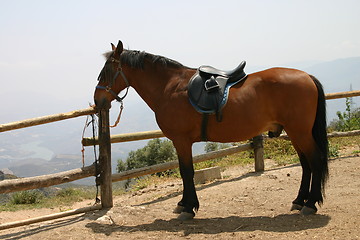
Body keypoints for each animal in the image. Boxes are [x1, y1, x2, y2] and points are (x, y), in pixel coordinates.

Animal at [93, 40, 330, 220]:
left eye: (107, 71)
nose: (97, 100)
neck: (169, 87)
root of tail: (307, 77)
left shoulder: (181, 140)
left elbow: (186, 172)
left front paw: (188, 208)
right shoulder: (181, 141)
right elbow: (185, 172)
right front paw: (184, 204)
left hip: (300, 132)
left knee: (315, 160)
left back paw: (310, 204)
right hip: (295, 133)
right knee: (306, 164)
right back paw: (299, 201)